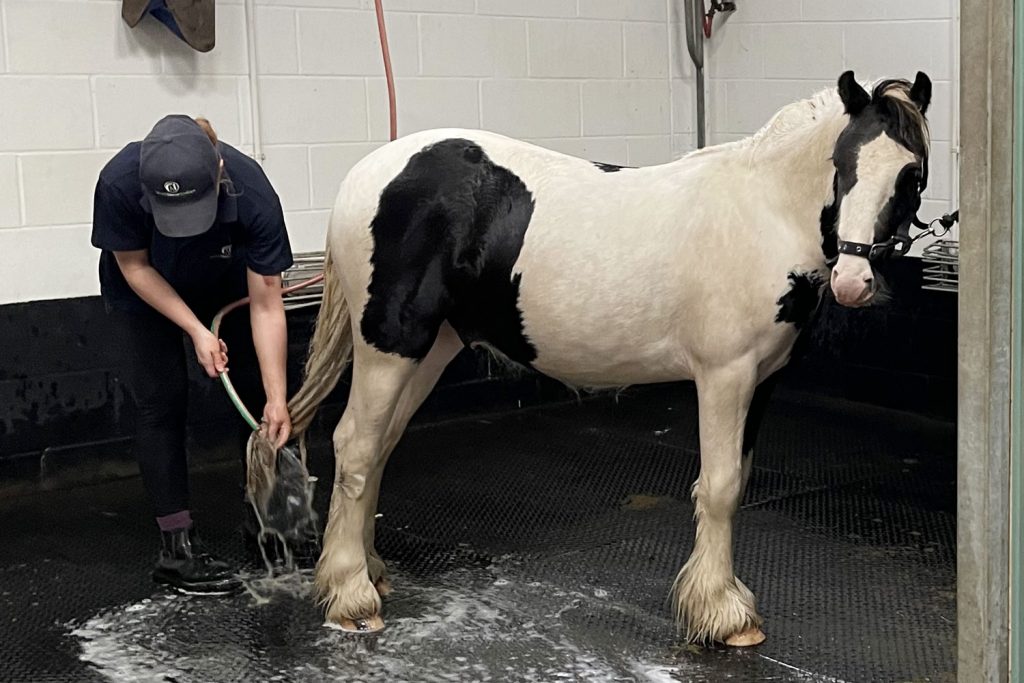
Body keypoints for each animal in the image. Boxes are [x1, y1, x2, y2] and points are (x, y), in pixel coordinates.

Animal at [286, 72, 929, 651]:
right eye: (842, 165)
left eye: (911, 174)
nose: (853, 282)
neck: (762, 213)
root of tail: (364, 175)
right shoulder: (725, 376)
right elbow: (720, 487)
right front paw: (722, 615)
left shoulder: (763, 381)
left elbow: (740, 479)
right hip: (390, 347)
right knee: (356, 447)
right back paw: (351, 597)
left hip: (431, 350)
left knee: (378, 447)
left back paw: (367, 573)